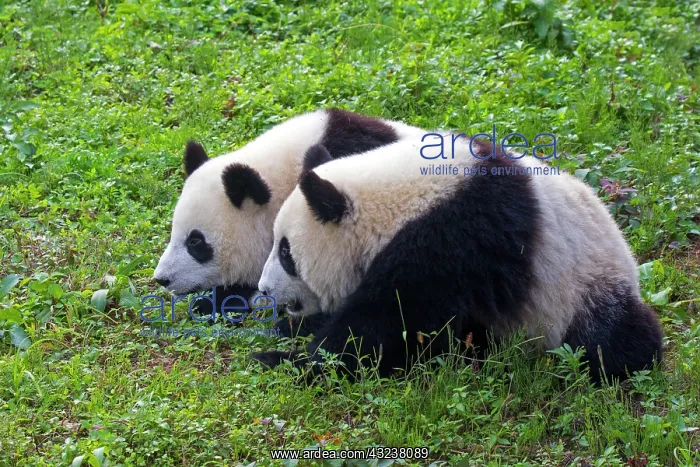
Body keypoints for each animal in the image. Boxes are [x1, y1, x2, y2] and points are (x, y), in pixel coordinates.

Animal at [253, 134, 663, 383]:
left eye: (286, 252)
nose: (264, 289)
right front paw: (290, 331)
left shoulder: (452, 243)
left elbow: (387, 326)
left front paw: (284, 360)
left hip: (582, 287)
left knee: (610, 340)